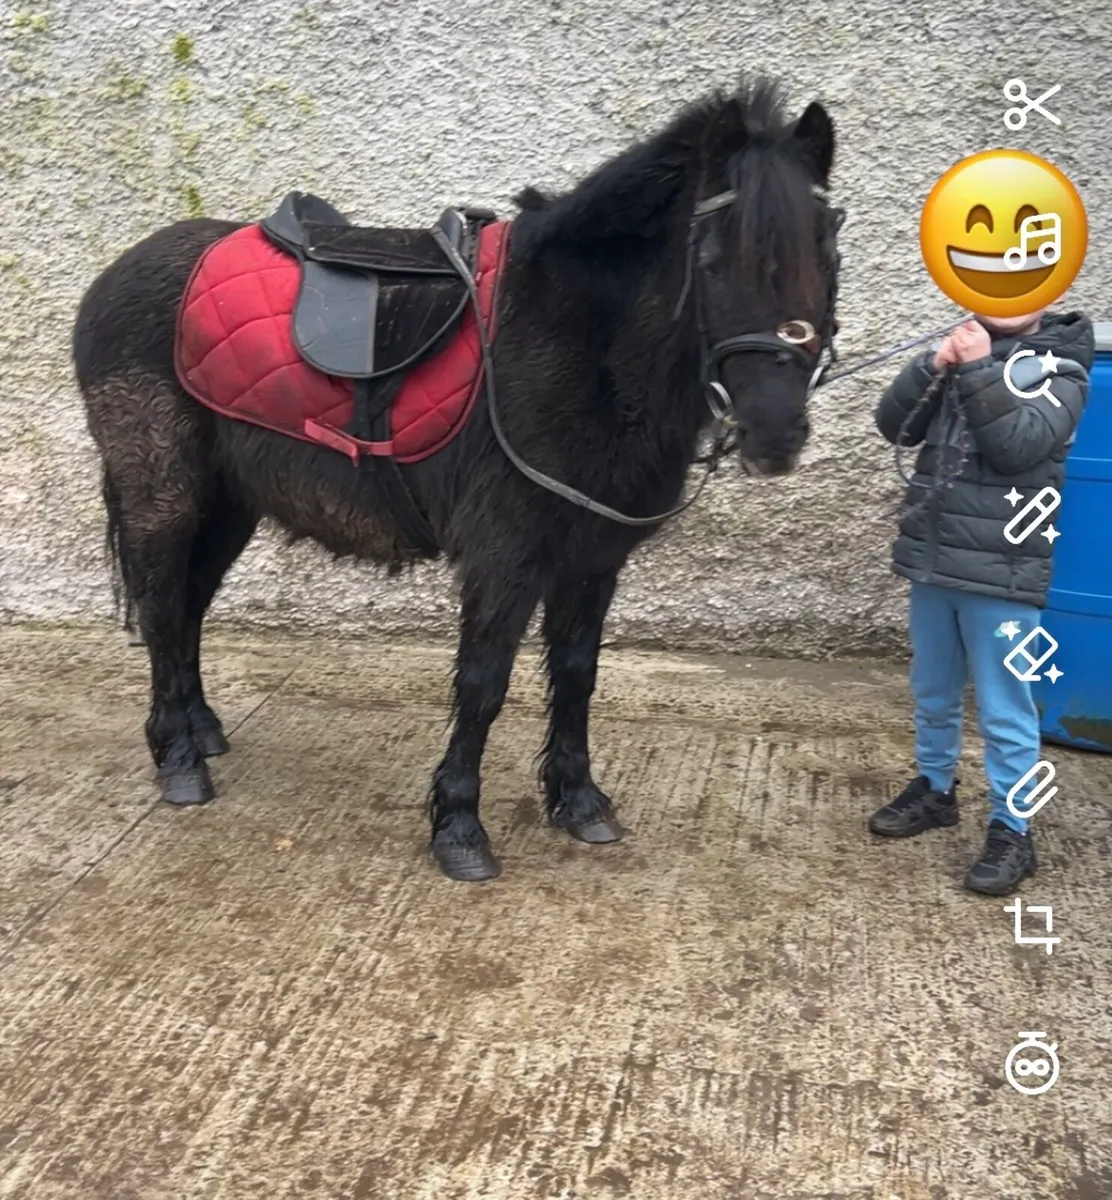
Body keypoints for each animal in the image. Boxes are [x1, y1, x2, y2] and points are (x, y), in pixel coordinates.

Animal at [73, 76, 842, 882]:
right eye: (715, 260)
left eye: (828, 252)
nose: (776, 432)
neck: (578, 341)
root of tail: (114, 276)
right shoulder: (506, 556)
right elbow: (483, 684)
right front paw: (460, 827)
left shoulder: (593, 557)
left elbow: (577, 673)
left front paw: (579, 800)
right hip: (162, 493)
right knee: (162, 609)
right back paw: (180, 759)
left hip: (228, 504)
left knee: (188, 606)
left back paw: (202, 730)